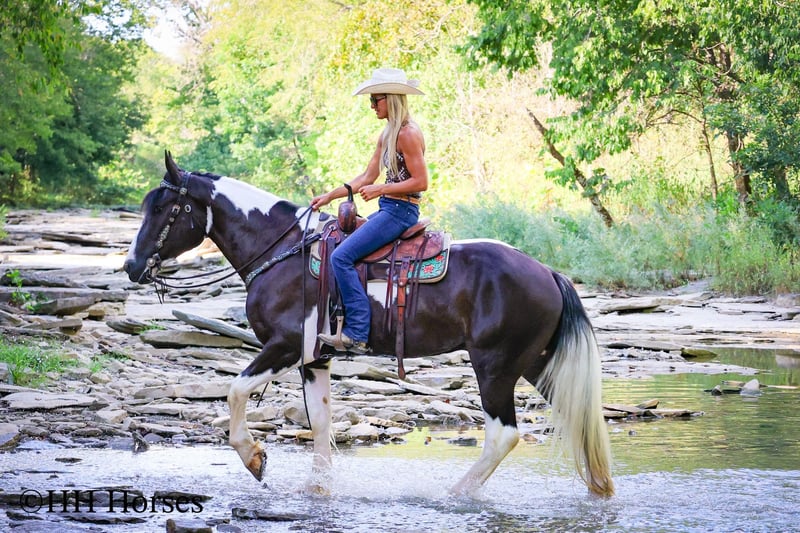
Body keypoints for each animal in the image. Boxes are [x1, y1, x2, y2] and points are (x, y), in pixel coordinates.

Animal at [123, 152, 614, 497]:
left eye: (164, 209)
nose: (130, 266)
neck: (282, 252)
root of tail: (548, 272)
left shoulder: (285, 346)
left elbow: (236, 391)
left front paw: (254, 459)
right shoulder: (315, 357)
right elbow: (321, 422)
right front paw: (317, 489)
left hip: (494, 367)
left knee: (503, 435)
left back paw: (454, 495)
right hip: (536, 366)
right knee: (577, 421)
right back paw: (598, 489)